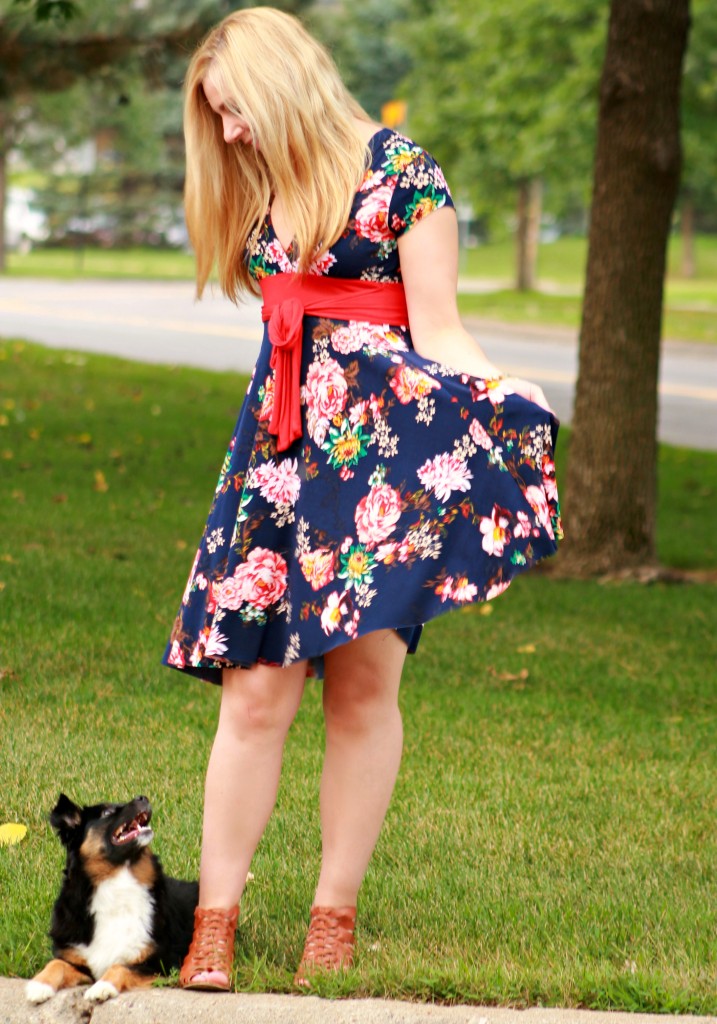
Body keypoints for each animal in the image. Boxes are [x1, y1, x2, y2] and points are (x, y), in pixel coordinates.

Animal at [24, 794, 197, 1003]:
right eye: (106, 812)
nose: (143, 797)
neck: (118, 877)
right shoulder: (81, 962)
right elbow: (57, 963)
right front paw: (39, 985)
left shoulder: (161, 963)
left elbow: (120, 967)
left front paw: (102, 987)